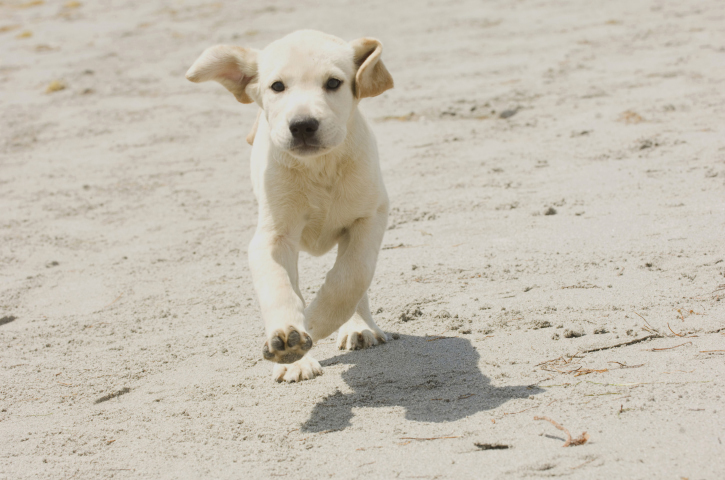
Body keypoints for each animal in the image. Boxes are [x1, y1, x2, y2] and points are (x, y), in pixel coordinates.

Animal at [184, 30, 394, 382]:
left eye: (333, 83)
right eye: (277, 87)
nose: (303, 125)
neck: (319, 168)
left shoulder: (370, 217)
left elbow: (352, 276)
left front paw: (316, 320)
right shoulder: (273, 237)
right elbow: (279, 287)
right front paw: (289, 341)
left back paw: (359, 327)